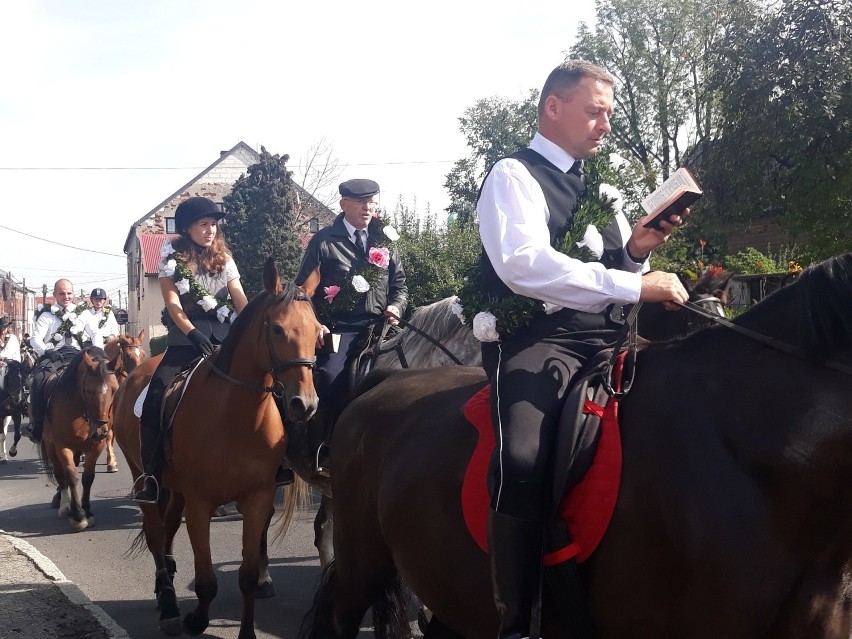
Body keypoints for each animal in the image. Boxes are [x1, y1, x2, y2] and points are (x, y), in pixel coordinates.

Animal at [38, 348, 120, 532]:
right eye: (88, 391)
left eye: (114, 390)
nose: (100, 431)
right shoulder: (62, 445)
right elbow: (71, 476)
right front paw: (77, 516)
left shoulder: (96, 446)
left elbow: (88, 477)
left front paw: (87, 512)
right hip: (50, 445)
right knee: (60, 473)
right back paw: (64, 505)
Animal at [115, 260, 322, 639]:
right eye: (277, 329)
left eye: (317, 331)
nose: (305, 405)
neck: (235, 414)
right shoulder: (200, 504)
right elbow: (207, 580)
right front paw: (196, 620)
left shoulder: (257, 500)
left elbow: (247, 576)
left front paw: (247, 630)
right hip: (145, 478)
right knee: (155, 533)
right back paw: (168, 604)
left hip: (175, 488)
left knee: (168, 527)